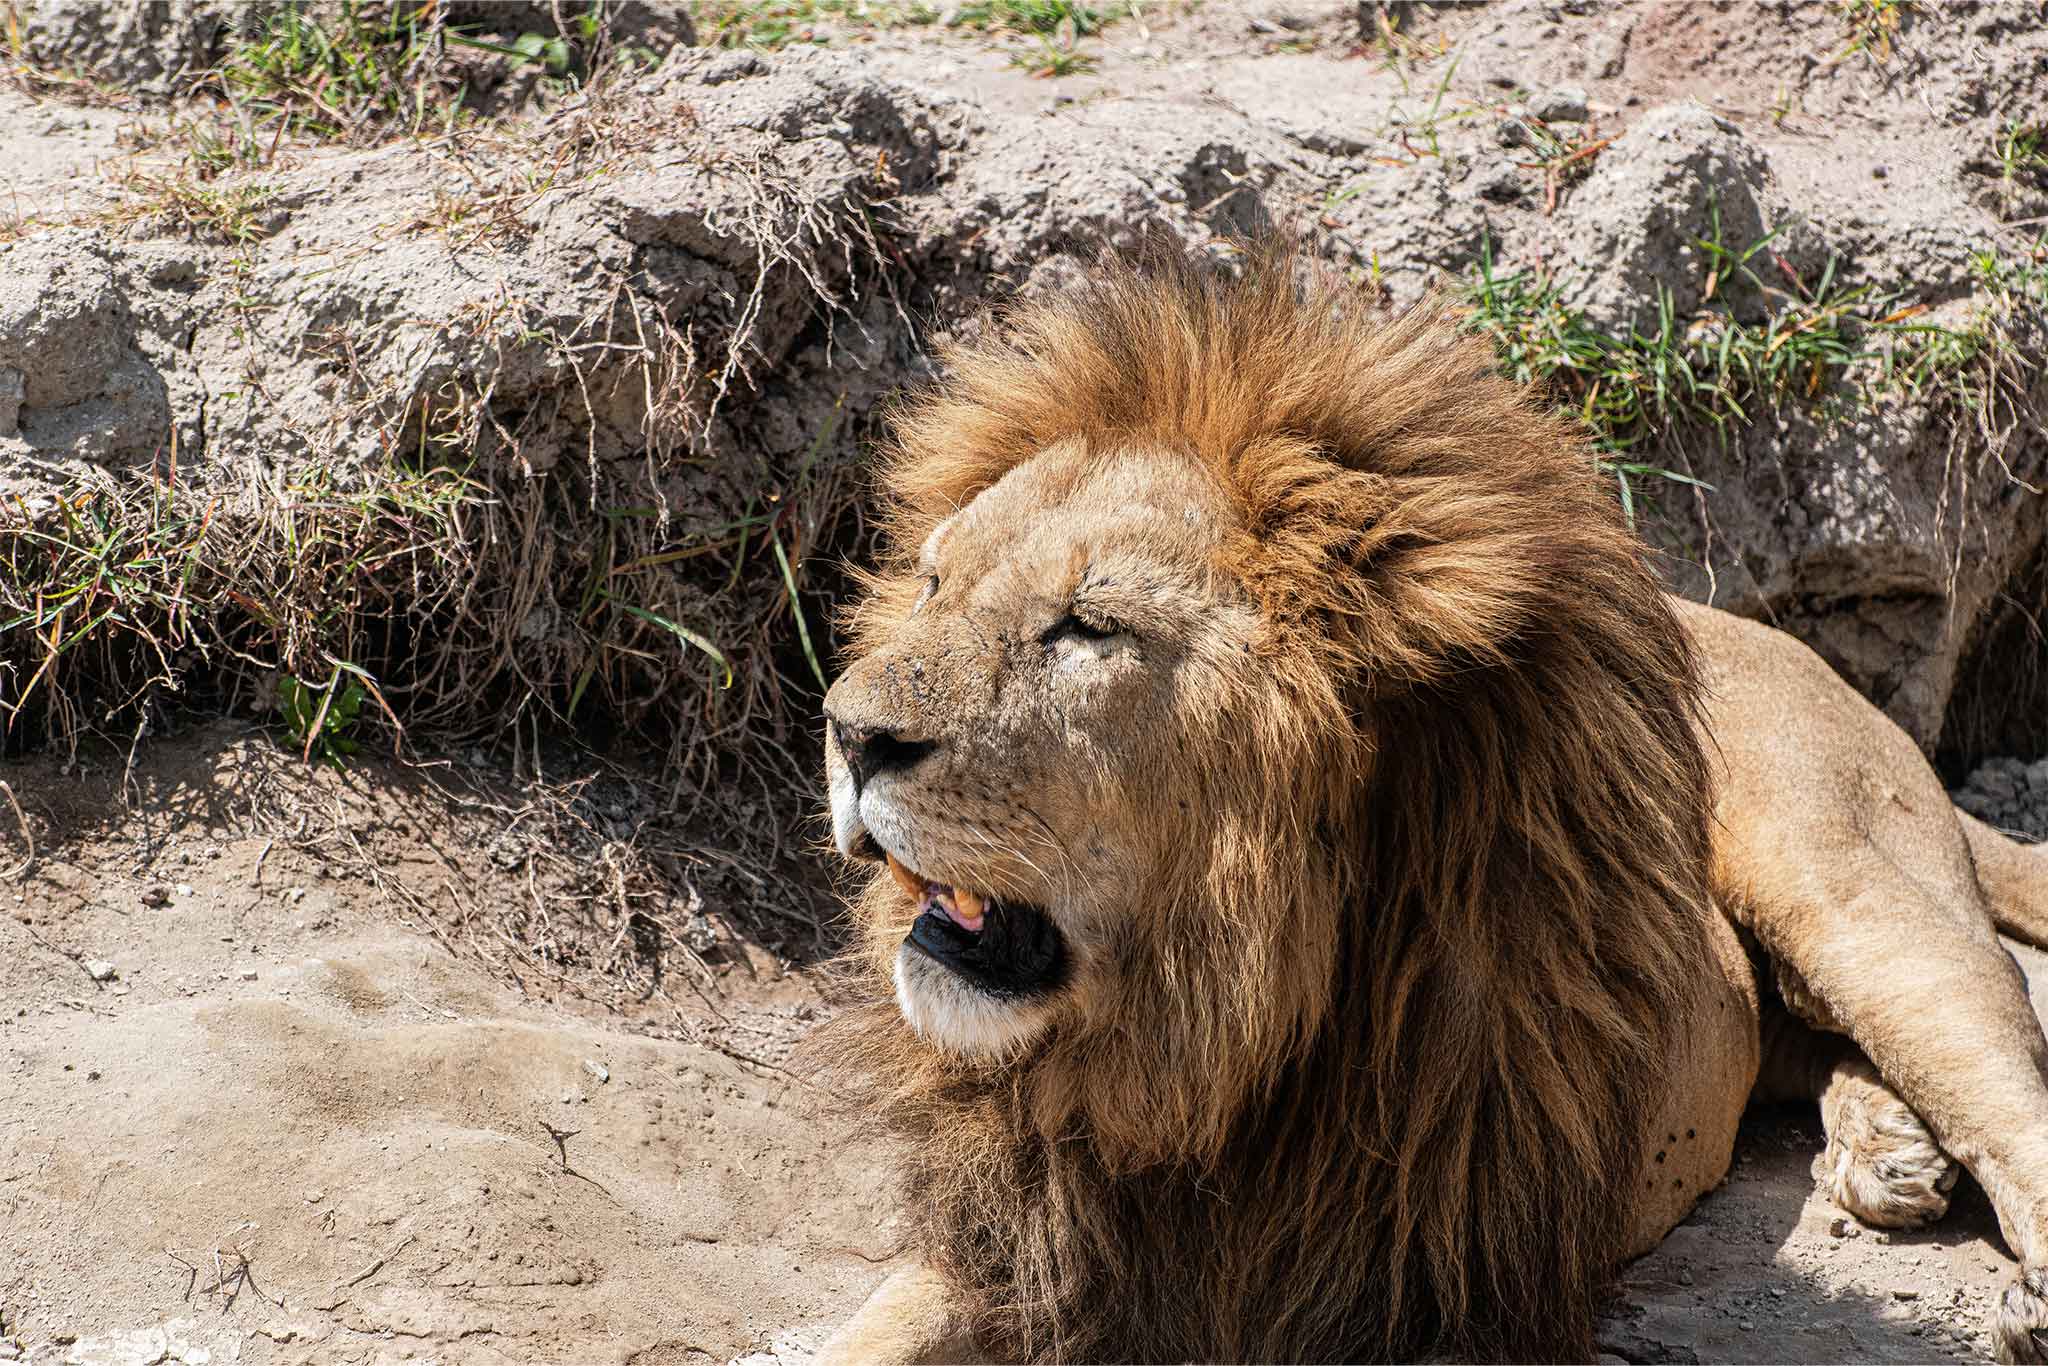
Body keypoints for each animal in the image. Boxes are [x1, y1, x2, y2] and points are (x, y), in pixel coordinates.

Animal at [811, 239, 2048, 1364]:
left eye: (1087, 627)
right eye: (930, 583)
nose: (847, 732)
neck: (1208, 1043)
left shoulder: (1441, 1284)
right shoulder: (1023, 1251)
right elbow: (863, 1336)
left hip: (1843, 890)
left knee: (1997, 1081)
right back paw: (1885, 1148)